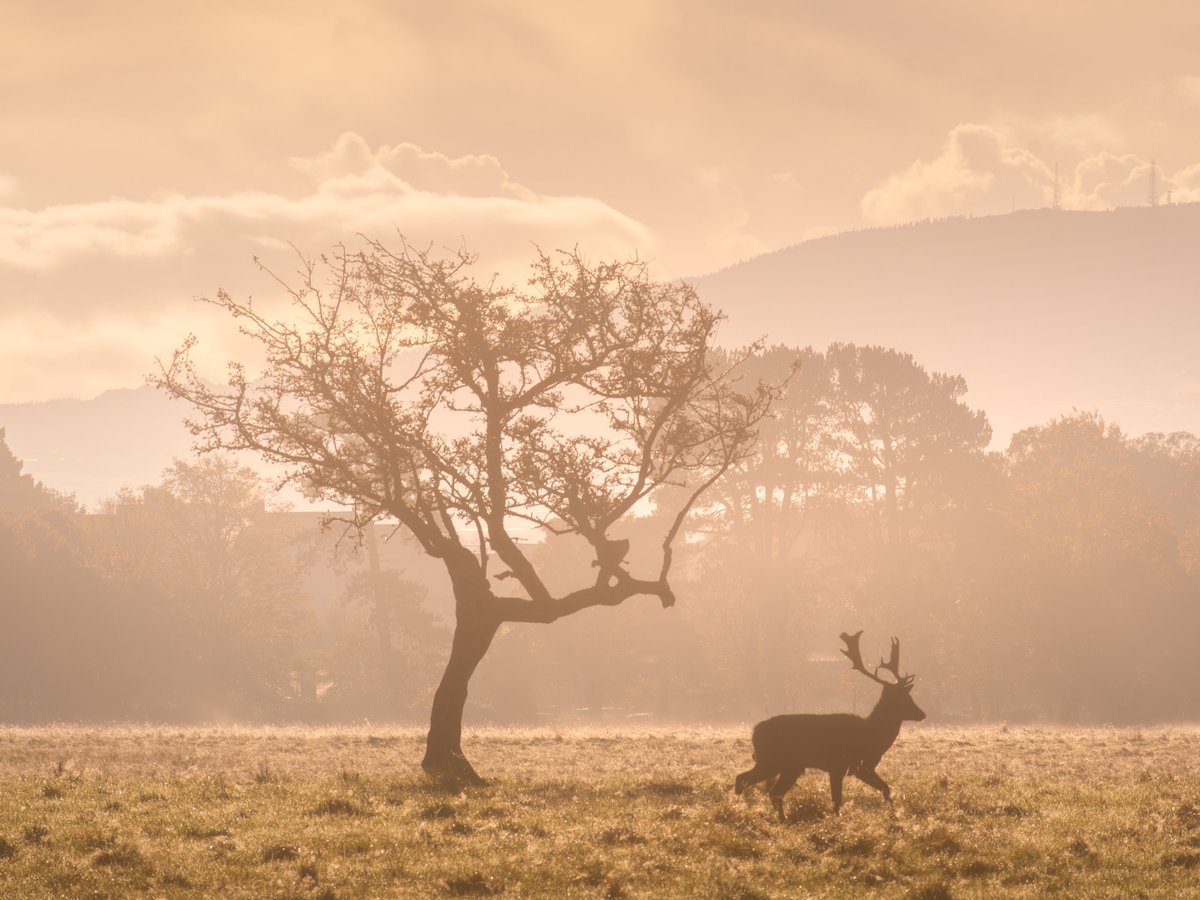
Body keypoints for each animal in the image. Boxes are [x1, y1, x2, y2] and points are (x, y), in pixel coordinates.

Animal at [729, 633, 926, 825]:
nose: (922, 713)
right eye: (902, 698)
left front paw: (894, 817)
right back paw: (739, 811)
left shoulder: (862, 768)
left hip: (790, 766)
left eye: (909, 696)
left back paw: (780, 819)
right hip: (770, 760)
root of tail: (755, 732)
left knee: (773, 791)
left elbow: (886, 788)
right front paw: (837, 824)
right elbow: (836, 800)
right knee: (743, 779)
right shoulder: (838, 764)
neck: (870, 737)